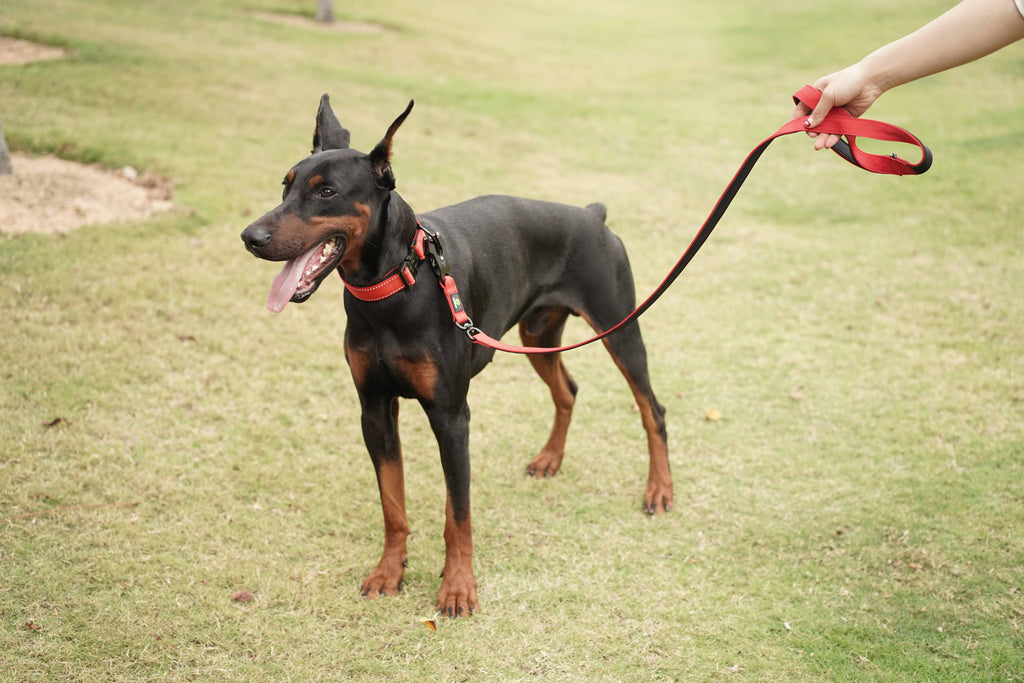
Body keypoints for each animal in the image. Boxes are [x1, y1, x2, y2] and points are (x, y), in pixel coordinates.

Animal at [239, 97, 671, 618]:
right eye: (285, 186)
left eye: (326, 192)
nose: (250, 236)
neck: (395, 285)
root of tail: (593, 215)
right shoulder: (374, 409)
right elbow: (392, 505)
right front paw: (389, 572)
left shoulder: (451, 416)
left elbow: (457, 514)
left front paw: (459, 588)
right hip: (536, 334)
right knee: (567, 389)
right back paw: (549, 459)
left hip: (619, 326)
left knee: (652, 408)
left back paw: (659, 490)